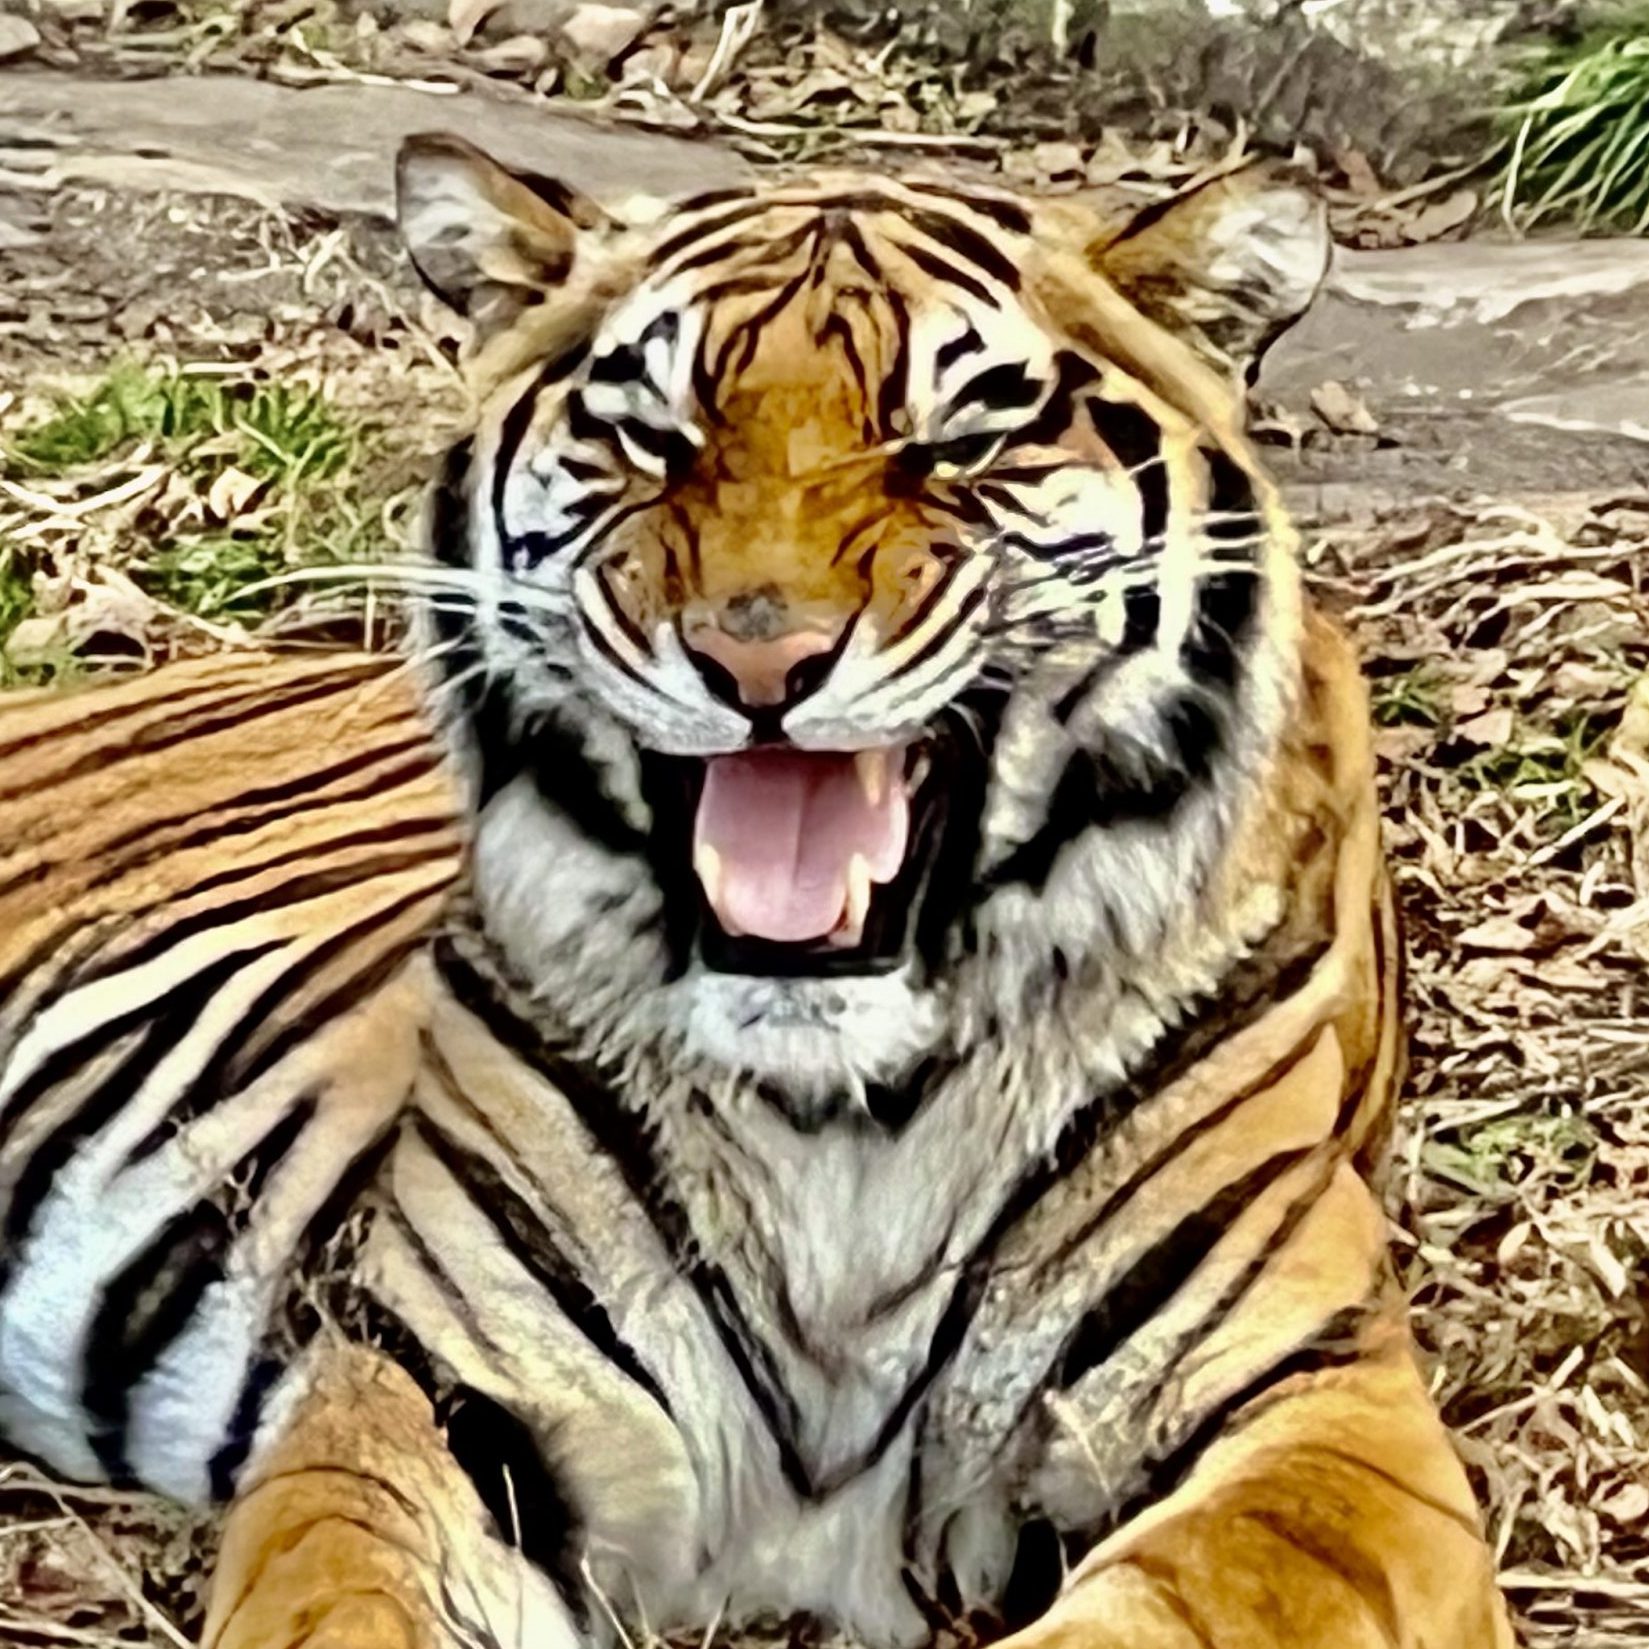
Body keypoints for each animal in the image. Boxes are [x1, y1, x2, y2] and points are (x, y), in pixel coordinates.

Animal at [0, 136, 1514, 1649]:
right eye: (649, 432)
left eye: (961, 437)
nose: (758, 659)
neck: (842, 1124)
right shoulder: (436, 1391)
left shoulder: (1321, 1419)